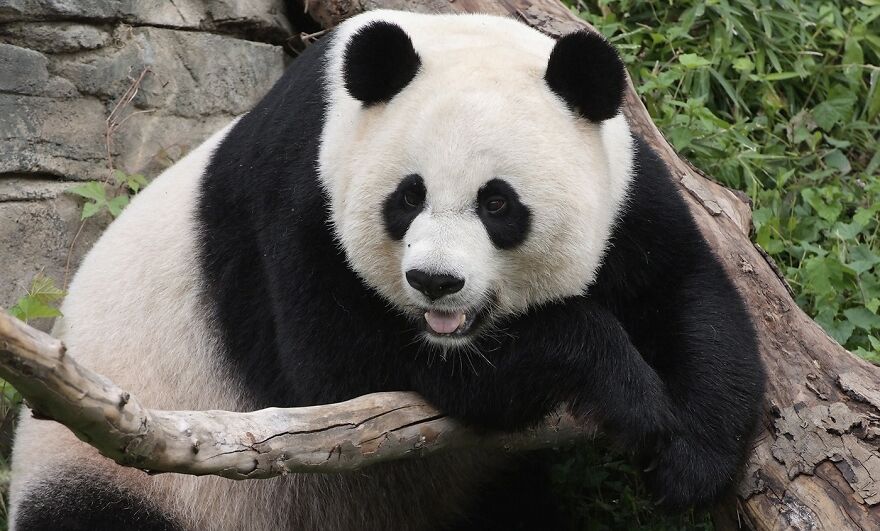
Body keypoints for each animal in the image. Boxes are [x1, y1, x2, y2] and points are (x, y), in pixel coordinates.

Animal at [9, 9, 765, 531]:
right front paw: (629, 392)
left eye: (498, 203)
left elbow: (687, 289)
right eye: (407, 197)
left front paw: (692, 459)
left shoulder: (625, 185)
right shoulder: (296, 191)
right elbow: (340, 366)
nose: (435, 281)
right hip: (124, 471)